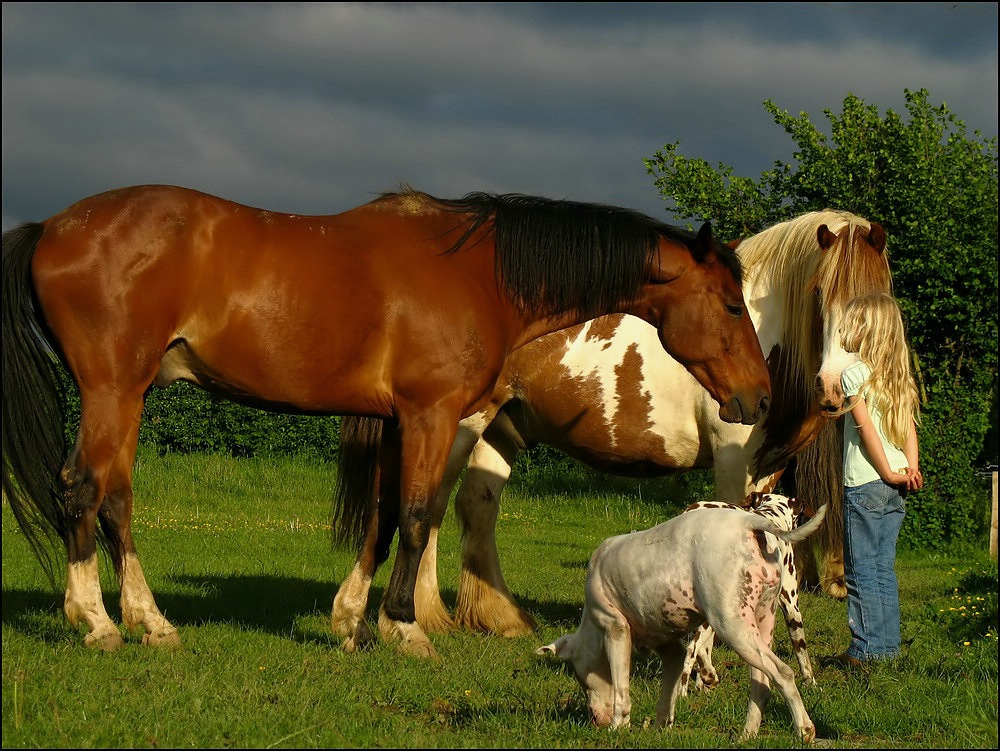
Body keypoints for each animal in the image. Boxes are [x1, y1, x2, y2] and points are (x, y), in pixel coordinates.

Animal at [0, 184, 768, 656]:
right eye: (733, 305)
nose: (759, 399)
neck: (480, 273)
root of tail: (53, 227)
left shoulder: (399, 419)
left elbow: (383, 513)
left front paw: (352, 623)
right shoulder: (432, 414)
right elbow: (420, 513)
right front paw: (406, 629)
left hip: (127, 397)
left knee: (115, 497)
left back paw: (149, 621)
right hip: (112, 391)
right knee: (81, 489)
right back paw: (97, 621)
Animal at [336, 212, 892, 640]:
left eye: (880, 299)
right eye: (822, 293)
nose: (839, 386)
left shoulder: (770, 470)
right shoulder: (732, 461)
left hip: (502, 429)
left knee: (476, 507)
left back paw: (502, 618)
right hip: (458, 425)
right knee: (427, 508)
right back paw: (426, 616)